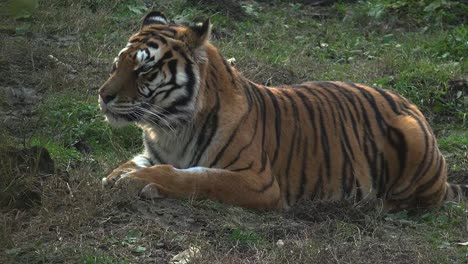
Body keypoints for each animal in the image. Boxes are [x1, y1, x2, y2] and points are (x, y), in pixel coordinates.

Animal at [98, 11, 464, 211]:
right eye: (118, 64)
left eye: (144, 70)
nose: (103, 95)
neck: (170, 128)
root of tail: (411, 104)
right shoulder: (152, 153)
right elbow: (128, 164)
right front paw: (117, 176)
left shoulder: (257, 181)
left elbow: (191, 177)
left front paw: (137, 182)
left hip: (412, 139)